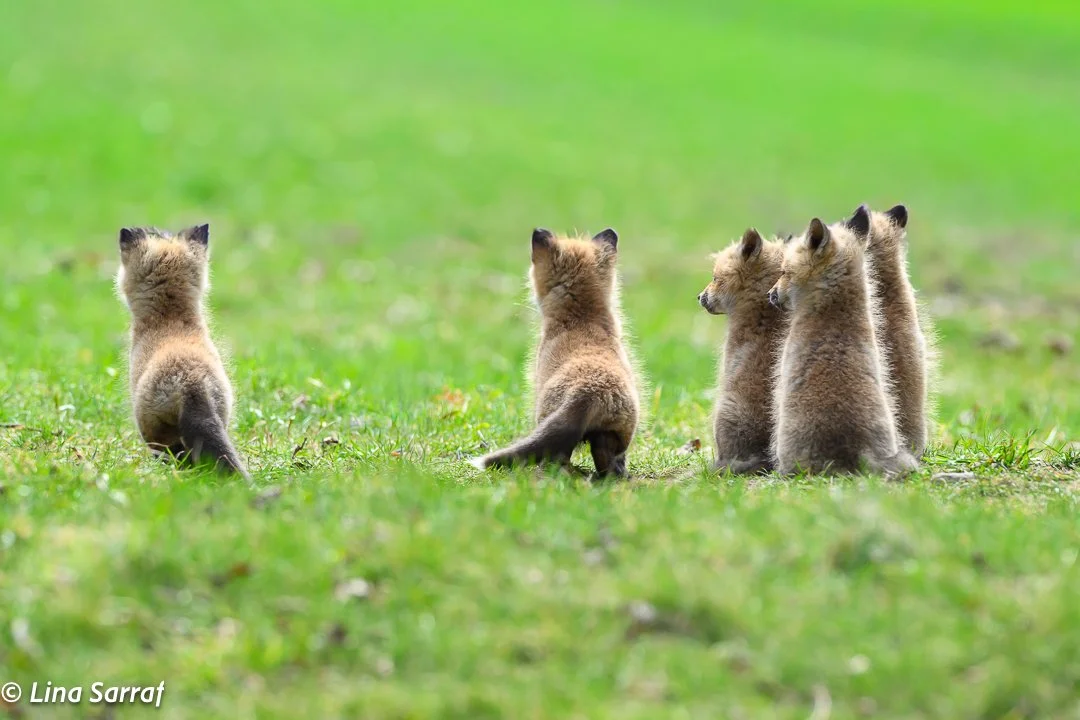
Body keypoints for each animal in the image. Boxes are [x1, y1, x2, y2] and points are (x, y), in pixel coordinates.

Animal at [471, 227, 640, 478]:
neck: (581, 321)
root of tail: (588, 393)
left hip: (548, 418)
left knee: (557, 458)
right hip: (615, 436)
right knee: (608, 463)